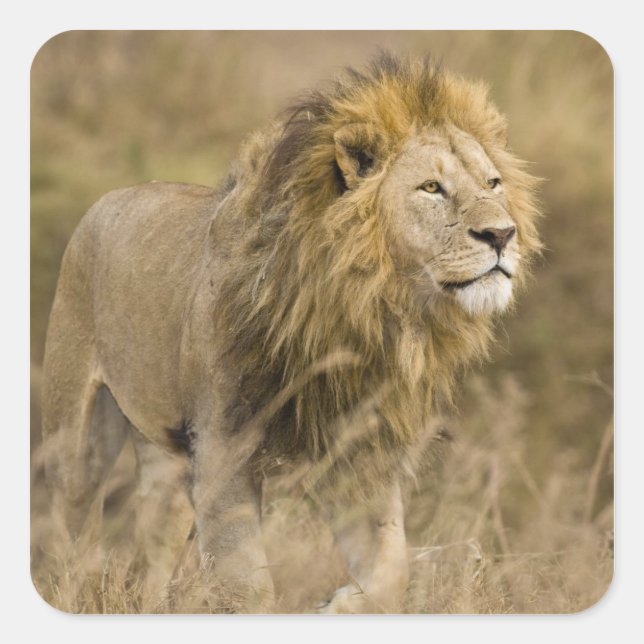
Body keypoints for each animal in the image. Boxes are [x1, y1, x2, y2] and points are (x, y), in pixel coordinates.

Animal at [41, 53, 541, 613]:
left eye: (493, 183)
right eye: (431, 188)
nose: (502, 235)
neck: (368, 310)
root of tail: (113, 194)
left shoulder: (358, 450)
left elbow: (392, 570)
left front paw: (338, 605)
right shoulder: (223, 448)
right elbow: (248, 587)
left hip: (167, 456)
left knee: (153, 544)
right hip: (77, 435)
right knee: (68, 528)